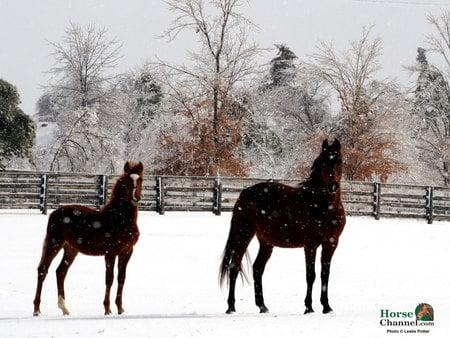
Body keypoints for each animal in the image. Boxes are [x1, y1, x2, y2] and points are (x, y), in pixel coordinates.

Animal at [32, 160, 143, 314]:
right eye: (127, 180)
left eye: (141, 179)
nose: (135, 198)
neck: (120, 219)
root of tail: (53, 213)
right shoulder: (110, 253)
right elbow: (109, 278)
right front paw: (107, 309)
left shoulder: (127, 251)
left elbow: (121, 278)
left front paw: (121, 309)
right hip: (54, 243)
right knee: (43, 270)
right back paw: (37, 310)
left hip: (70, 249)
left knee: (60, 272)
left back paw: (64, 308)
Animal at [220, 139, 346, 314]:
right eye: (324, 162)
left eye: (339, 160)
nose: (333, 186)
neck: (322, 207)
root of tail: (243, 194)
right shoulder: (310, 245)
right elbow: (311, 275)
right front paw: (309, 307)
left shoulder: (331, 243)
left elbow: (324, 274)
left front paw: (326, 307)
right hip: (243, 234)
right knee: (234, 267)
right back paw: (231, 307)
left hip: (265, 242)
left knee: (257, 269)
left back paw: (262, 306)